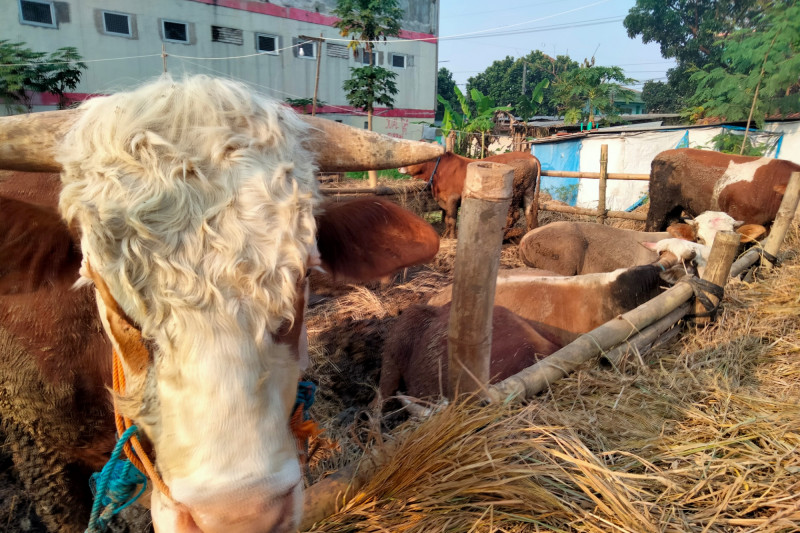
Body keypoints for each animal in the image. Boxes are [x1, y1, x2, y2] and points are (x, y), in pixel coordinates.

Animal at [396, 151, 540, 240]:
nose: (399, 167)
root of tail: (530, 157)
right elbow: (447, 220)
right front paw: (446, 235)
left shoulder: (452, 198)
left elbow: (452, 220)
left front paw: (452, 237)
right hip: (528, 192)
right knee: (529, 212)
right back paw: (526, 236)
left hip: (514, 194)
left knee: (513, 215)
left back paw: (503, 236)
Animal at [644, 147, 800, 230]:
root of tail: (662, 155)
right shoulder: (742, 217)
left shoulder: (766, 225)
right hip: (659, 203)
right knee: (653, 223)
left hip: (676, 206)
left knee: (672, 222)